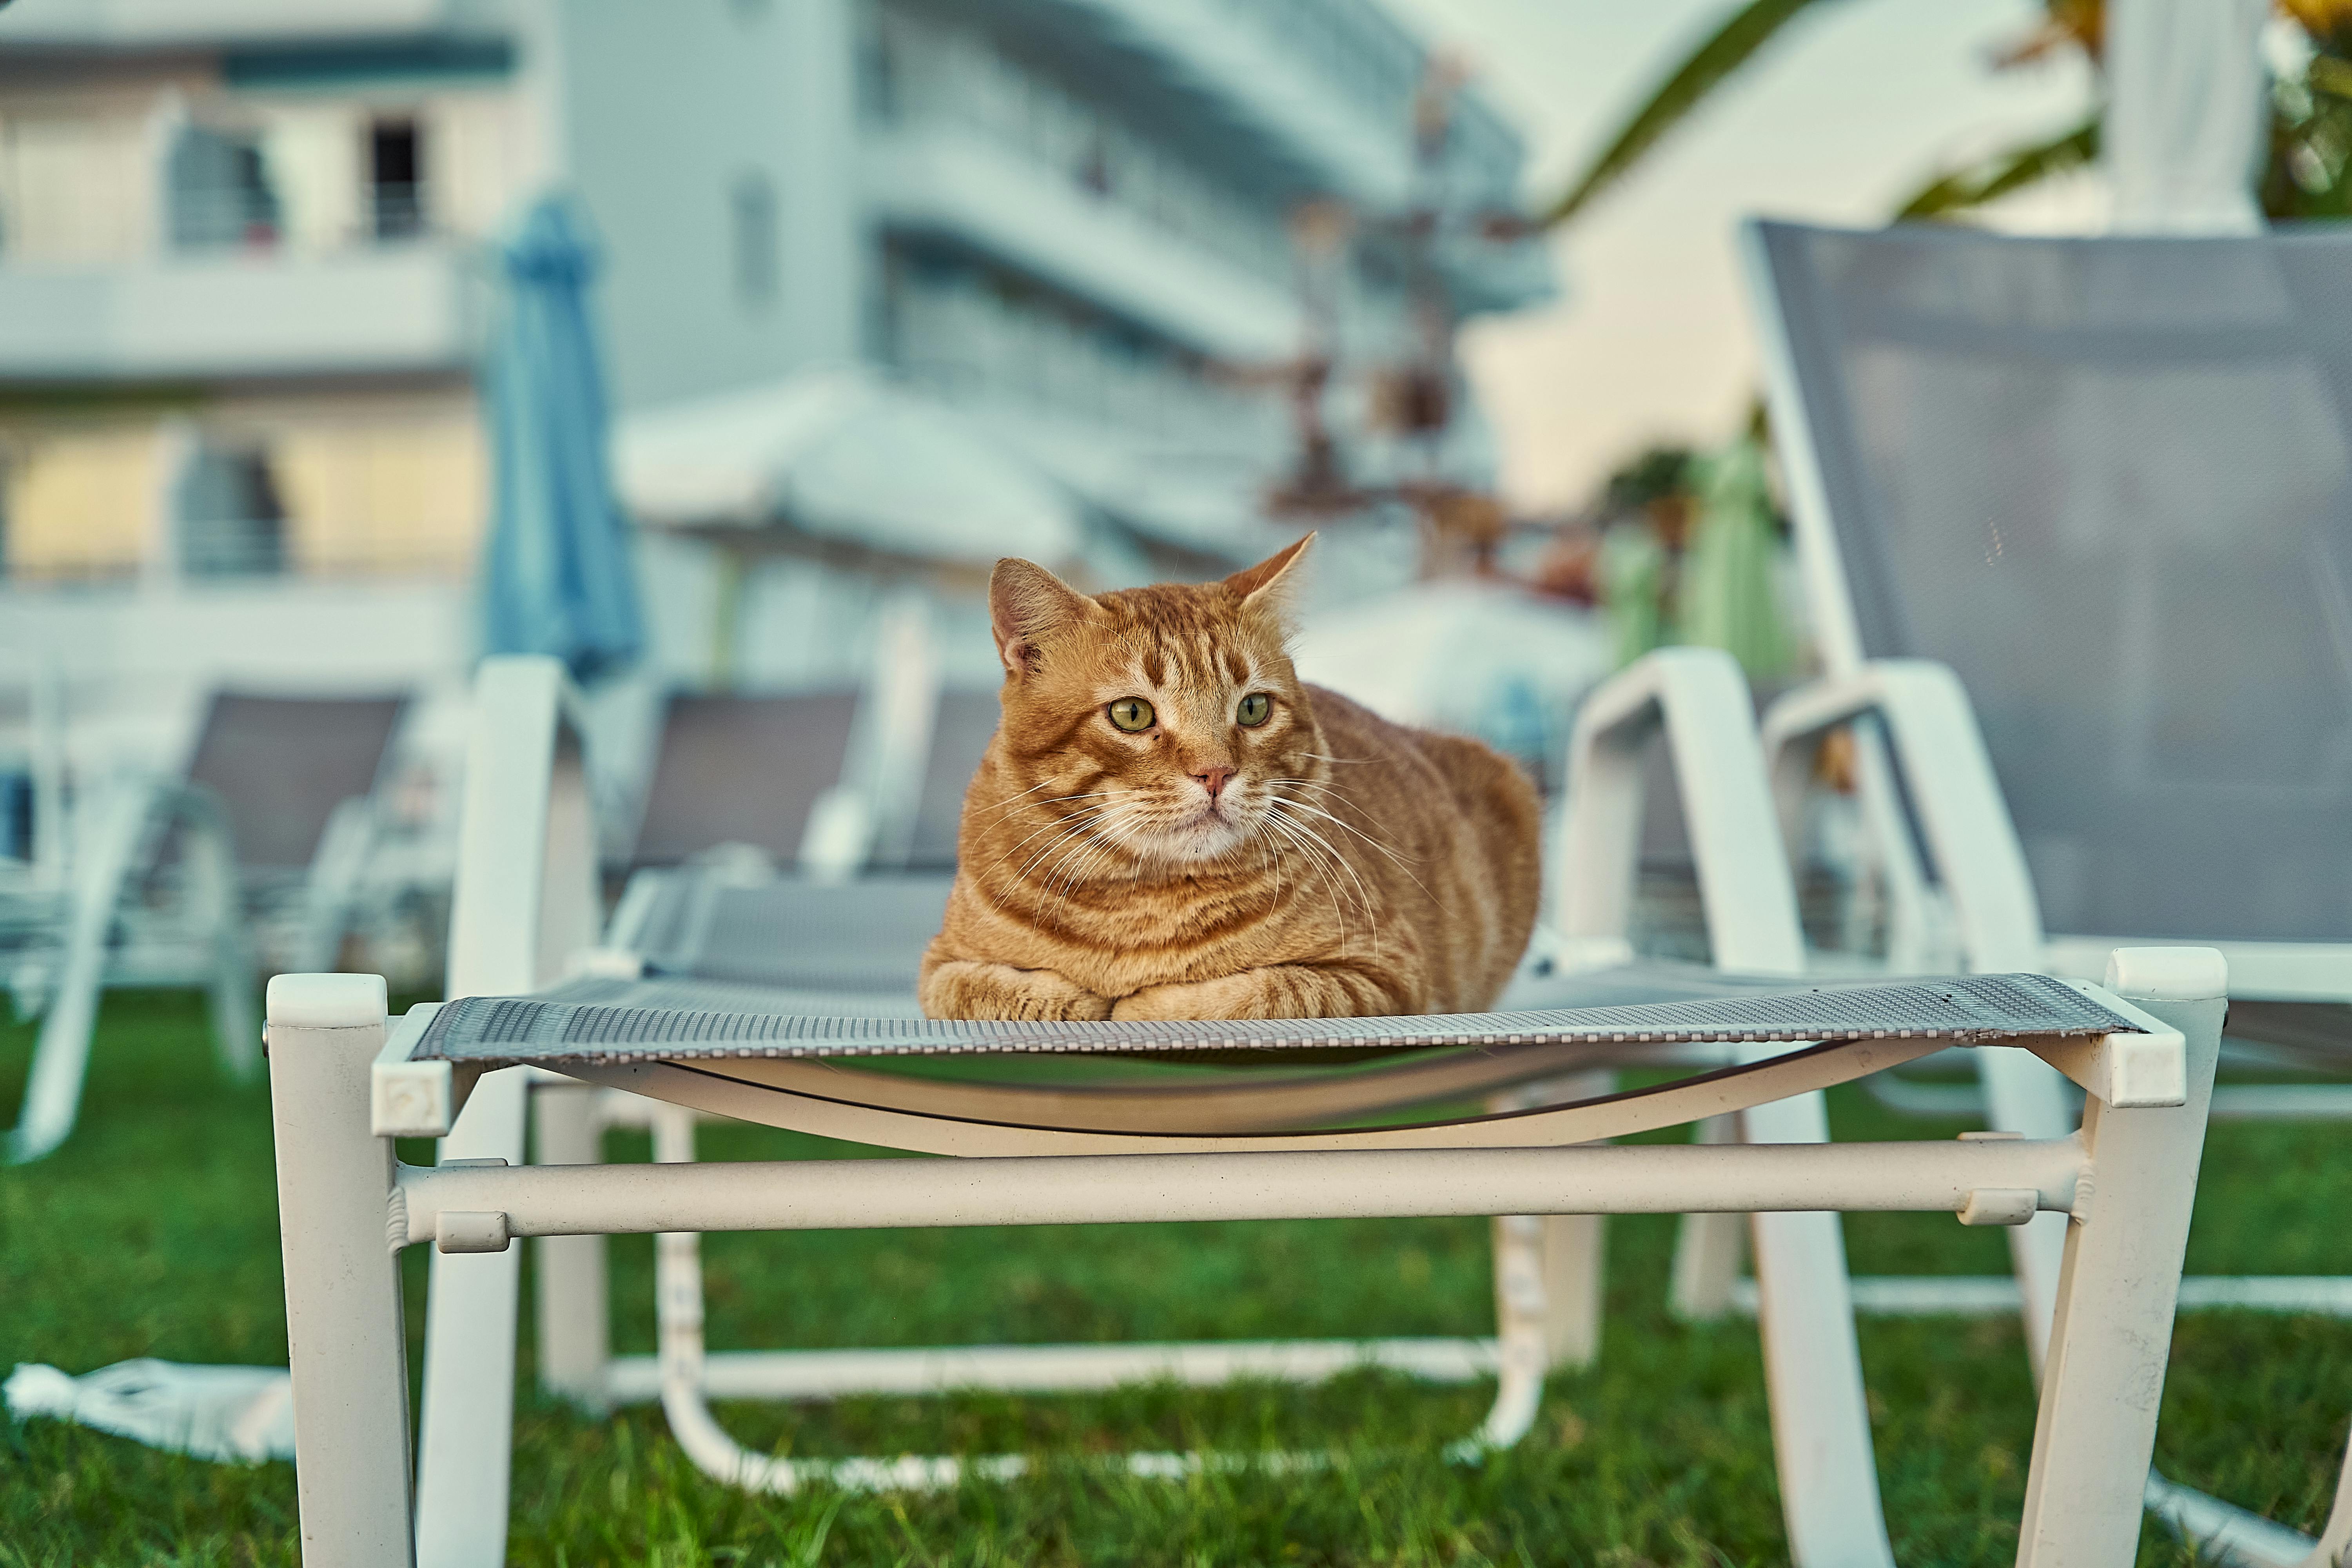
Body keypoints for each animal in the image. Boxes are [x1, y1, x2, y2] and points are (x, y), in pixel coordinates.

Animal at [917, 541, 1543, 1025]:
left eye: (1253, 709)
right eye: (1131, 715)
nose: (1216, 772)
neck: (1141, 908)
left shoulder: (1383, 975)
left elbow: (1252, 993)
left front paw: (1141, 1002)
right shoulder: (941, 966)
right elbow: (989, 989)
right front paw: (1080, 996)